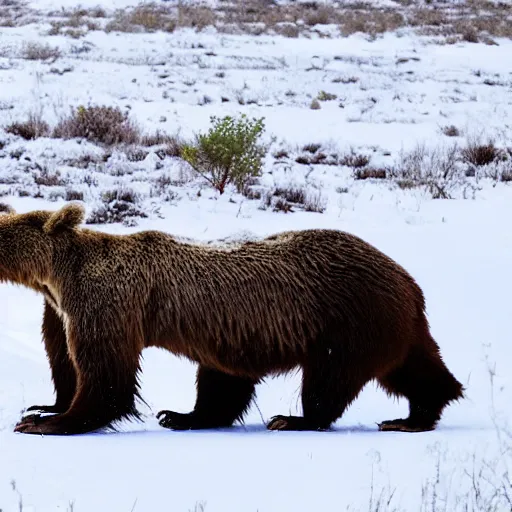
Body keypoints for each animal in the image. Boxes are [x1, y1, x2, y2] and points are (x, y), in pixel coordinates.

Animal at [0, 202, 464, 434]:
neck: (57, 276)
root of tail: (408, 280)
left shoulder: (106, 301)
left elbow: (105, 375)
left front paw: (45, 423)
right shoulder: (59, 310)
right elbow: (64, 360)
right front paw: (45, 405)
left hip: (345, 317)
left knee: (330, 379)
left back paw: (293, 418)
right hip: (376, 322)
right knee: (412, 367)